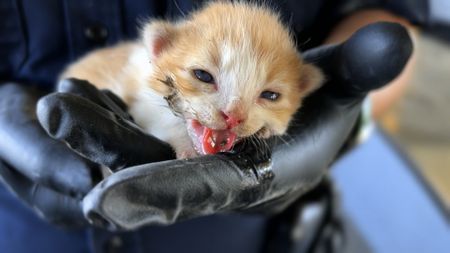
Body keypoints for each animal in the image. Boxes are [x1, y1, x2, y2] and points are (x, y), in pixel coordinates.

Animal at [62, 1, 324, 158]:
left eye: (270, 95)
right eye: (203, 75)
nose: (233, 117)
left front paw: (267, 130)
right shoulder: (141, 96)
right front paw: (187, 147)